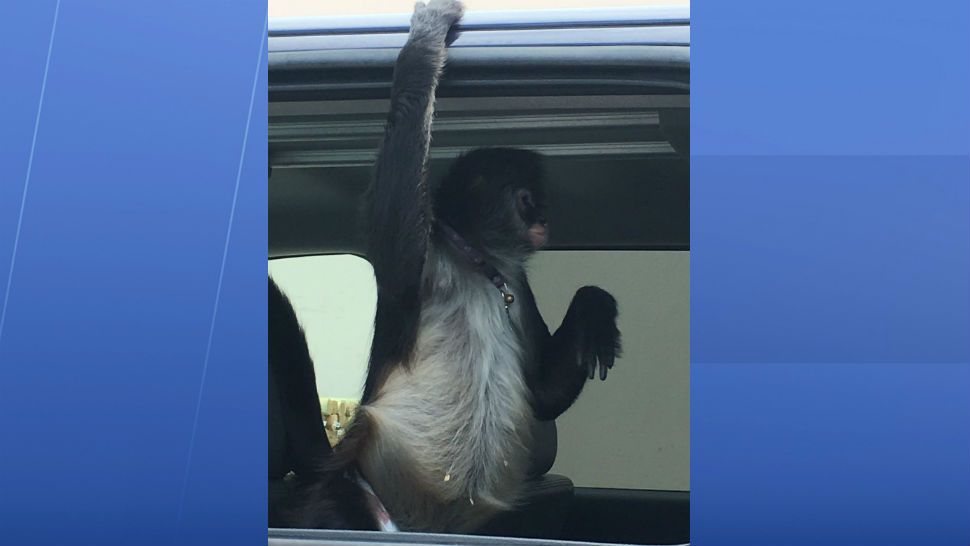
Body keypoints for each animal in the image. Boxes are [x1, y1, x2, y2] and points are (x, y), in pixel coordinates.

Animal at [286, 0, 620, 528]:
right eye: (528, 201)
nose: (545, 219)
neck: (474, 264)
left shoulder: (514, 281)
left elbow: (542, 395)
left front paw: (594, 308)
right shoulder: (425, 255)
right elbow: (393, 227)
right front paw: (426, 40)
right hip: (357, 490)